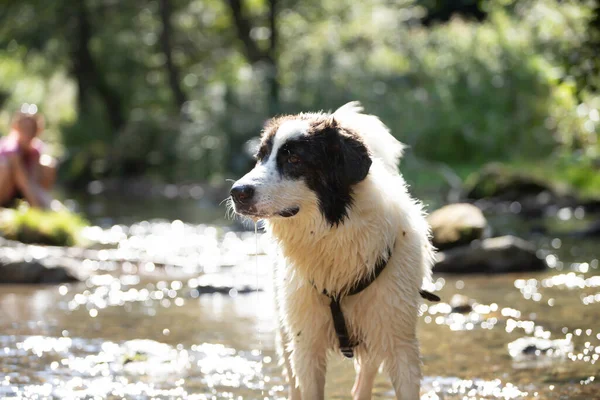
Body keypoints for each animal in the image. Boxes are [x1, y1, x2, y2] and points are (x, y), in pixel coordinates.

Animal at [231, 101, 436, 398]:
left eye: (294, 160)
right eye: (260, 158)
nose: (237, 192)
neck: (332, 235)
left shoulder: (399, 340)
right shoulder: (306, 345)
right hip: (285, 329)